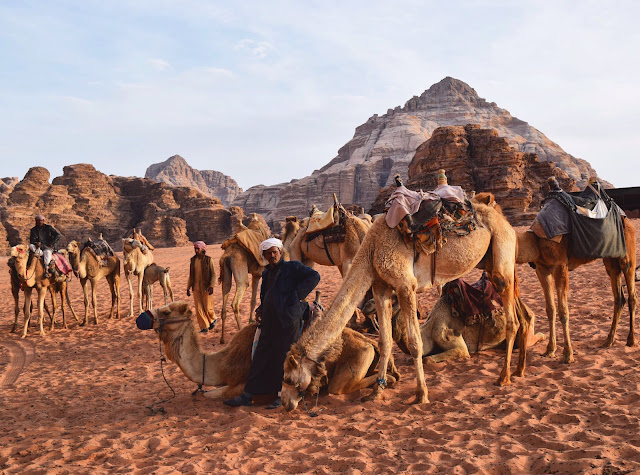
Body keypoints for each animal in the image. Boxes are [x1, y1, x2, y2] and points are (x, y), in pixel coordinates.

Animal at [141, 302, 400, 406]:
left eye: (166, 311)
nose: (144, 317)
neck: (221, 363)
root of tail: (369, 342)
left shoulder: (245, 381)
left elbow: (212, 394)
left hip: (357, 357)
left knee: (339, 387)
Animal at [284, 192, 524, 408]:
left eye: (288, 378)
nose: (287, 403)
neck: (371, 249)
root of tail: (503, 219)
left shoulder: (405, 285)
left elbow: (415, 343)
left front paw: (421, 395)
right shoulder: (381, 288)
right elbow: (384, 341)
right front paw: (376, 392)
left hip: (502, 252)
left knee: (511, 314)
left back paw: (504, 377)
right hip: (491, 262)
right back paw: (519, 371)